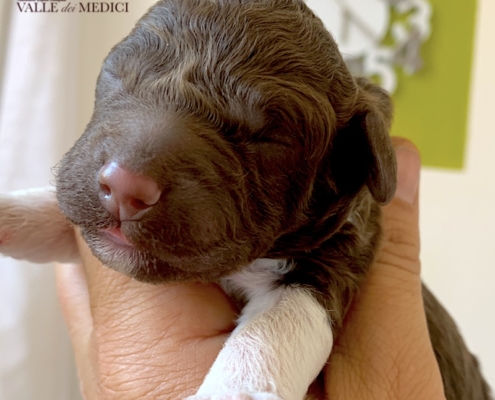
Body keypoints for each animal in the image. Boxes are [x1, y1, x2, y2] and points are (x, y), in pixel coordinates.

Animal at [0, 0, 492, 400]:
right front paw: (11, 214)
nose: (125, 187)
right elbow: (60, 216)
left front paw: (232, 390)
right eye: (118, 77)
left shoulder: (335, 261)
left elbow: (279, 326)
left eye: (270, 137)